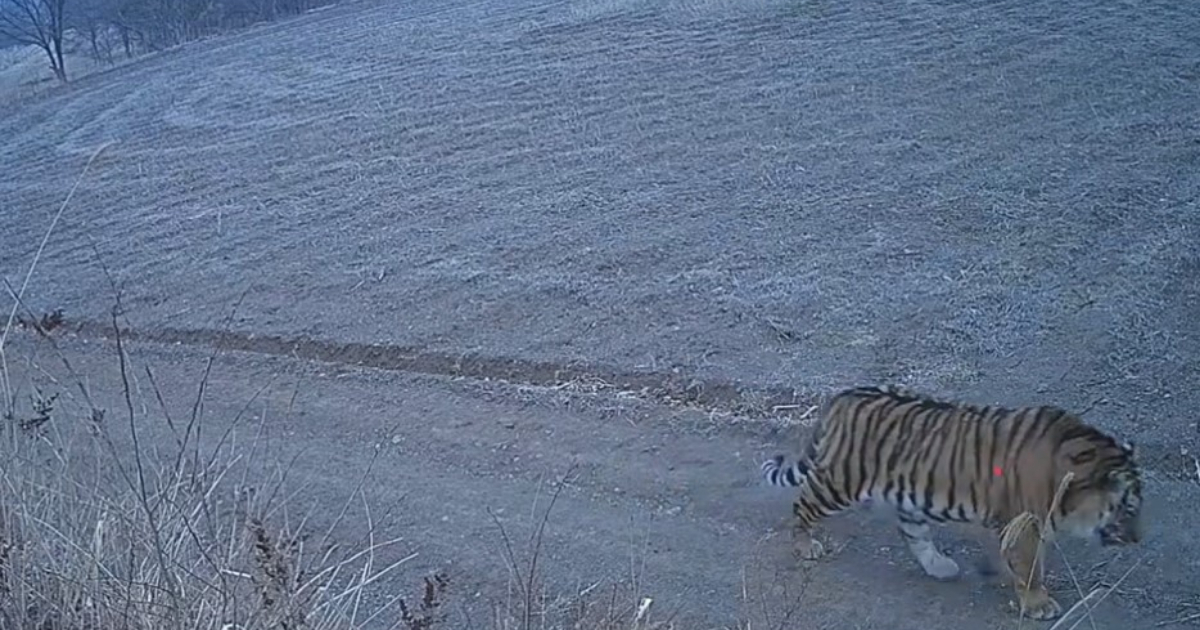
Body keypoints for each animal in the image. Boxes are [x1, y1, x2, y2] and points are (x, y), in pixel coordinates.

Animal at [760, 385, 1143, 620]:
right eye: (1129, 508)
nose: (1138, 539)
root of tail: (843, 396)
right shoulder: (1026, 523)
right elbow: (1031, 565)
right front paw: (1039, 603)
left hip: (907, 495)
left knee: (912, 533)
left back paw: (940, 566)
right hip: (841, 481)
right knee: (803, 504)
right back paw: (805, 546)